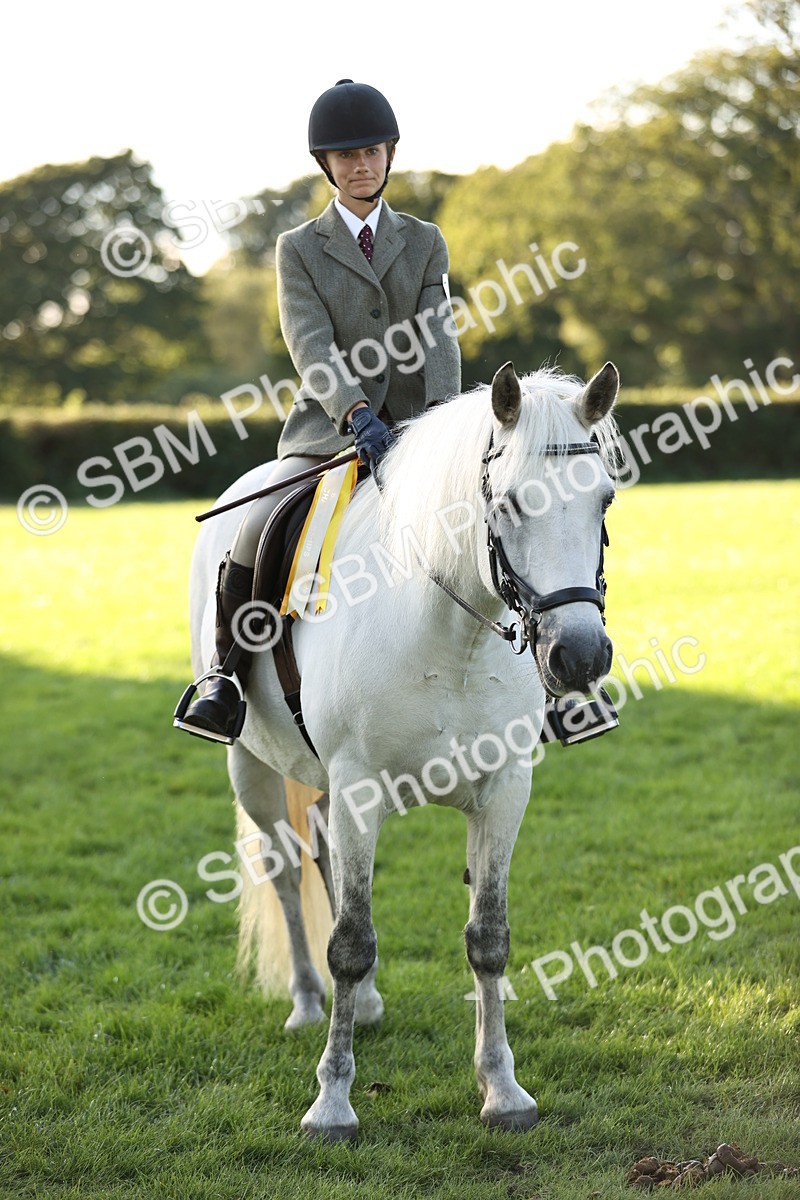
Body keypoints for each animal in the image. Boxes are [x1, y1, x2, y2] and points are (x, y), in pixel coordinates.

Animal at [185, 361, 621, 1139]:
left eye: (603, 499)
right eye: (509, 505)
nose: (579, 656)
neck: (452, 632)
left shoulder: (504, 789)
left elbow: (488, 936)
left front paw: (503, 1090)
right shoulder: (359, 788)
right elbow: (350, 942)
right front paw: (331, 1103)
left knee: (320, 857)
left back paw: (363, 1005)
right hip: (252, 766)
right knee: (284, 868)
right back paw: (307, 1001)